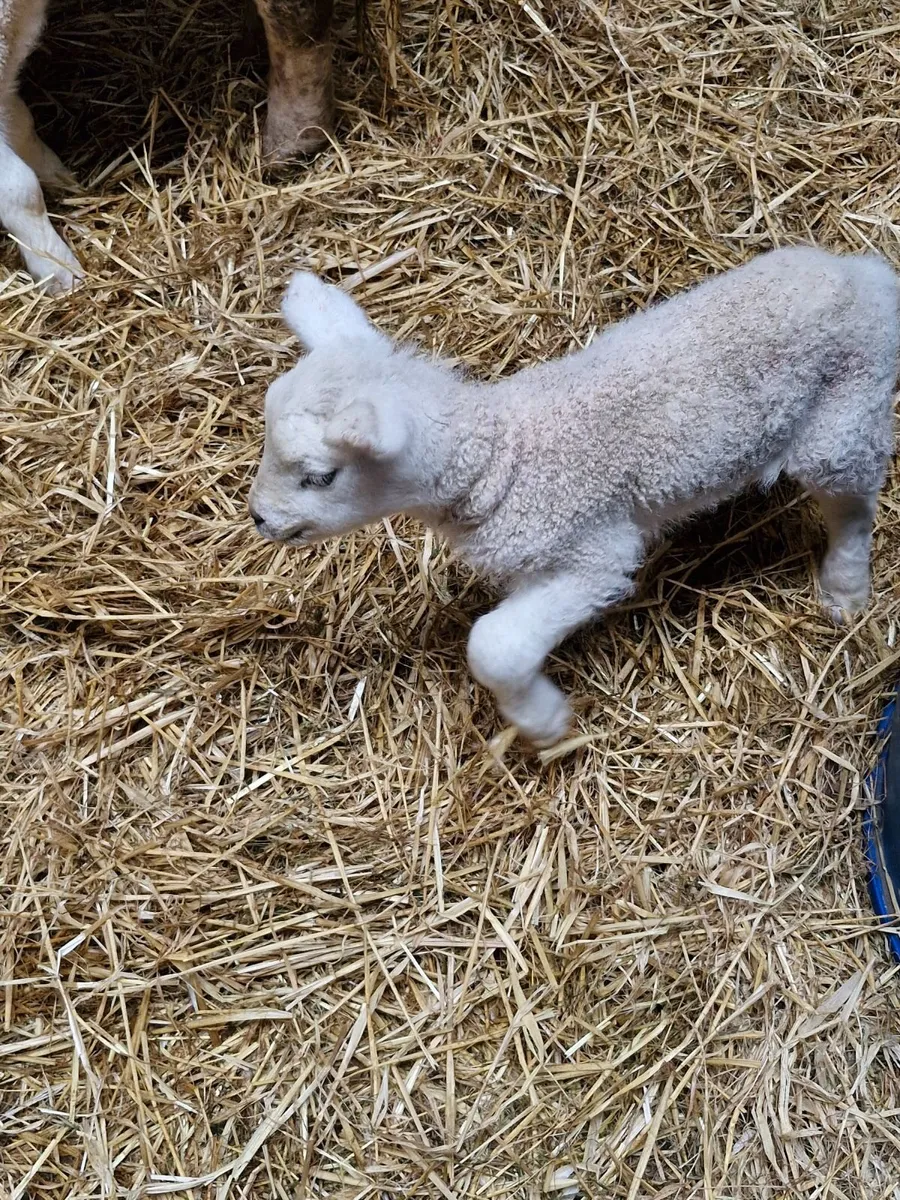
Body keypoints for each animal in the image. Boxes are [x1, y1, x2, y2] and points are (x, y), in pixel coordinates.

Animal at [249, 246, 900, 747]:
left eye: (319, 477)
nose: (258, 518)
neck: (500, 459)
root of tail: (870, 277)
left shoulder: (594, 551)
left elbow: (494, 645)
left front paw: (543, 722)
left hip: (842, 416)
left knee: (853, 508)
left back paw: (845, 591)